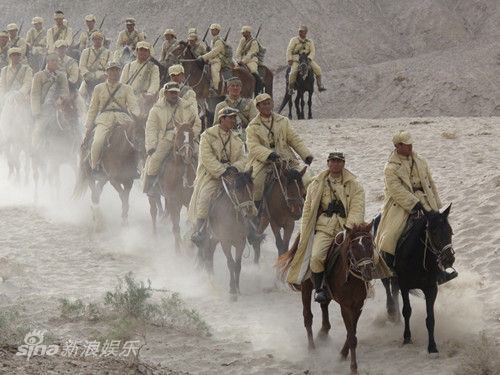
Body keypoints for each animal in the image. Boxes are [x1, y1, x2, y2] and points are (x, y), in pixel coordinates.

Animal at [147, 119, 196, 251]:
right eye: (178, 135)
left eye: (192, 134)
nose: (187, 156)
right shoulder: (174, 202)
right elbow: (176, 227)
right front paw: (177, 251)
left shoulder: (188, 201)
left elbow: (190, 224)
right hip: (152, 195)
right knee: (153, 212)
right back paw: (154, 235)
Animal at [202, 169, 256, 302]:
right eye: (237, 188)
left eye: (252, 186)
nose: (249, 213)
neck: (232, 216)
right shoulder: (225, 242)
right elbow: (231, 263)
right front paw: (232, 291)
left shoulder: (241, 242)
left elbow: (238, 264)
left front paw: (237, 288)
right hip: (210, 236)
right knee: (207, 254)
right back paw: (210, 282)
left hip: (215, 239)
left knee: (210, 253)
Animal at [278, 223, 376, 375]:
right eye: (353, 247)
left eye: (370, 243)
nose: (367, 272)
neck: (352, 278)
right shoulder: (346, 307)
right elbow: (352, 337)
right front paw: (353, 367)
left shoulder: (358, 306)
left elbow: (352, 333)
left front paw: (342, 354)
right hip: (306, 286)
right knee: (308, 316)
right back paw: (312, 349)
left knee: (324, 305)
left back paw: (323, 332)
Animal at [378, 207, 458, 356]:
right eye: (433, 233)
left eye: (450, 231)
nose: (448, 260)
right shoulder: (404, 285)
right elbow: (407, 311)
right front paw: (407, 338)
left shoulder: (431, 288)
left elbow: (430, 318)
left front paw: (432, 346)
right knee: (388, 289)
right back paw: (392, 311)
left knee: (394, 291)